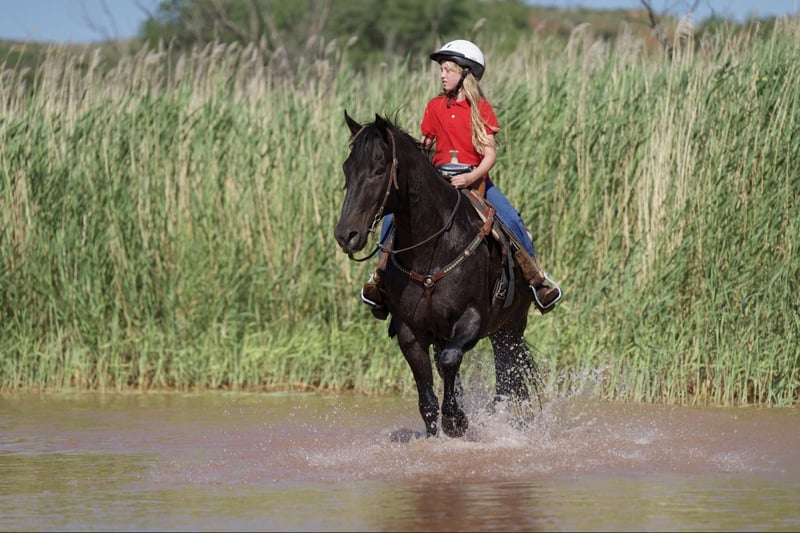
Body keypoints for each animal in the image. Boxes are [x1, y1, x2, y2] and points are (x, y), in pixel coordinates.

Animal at [334, 112, 540, 438]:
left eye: (379, 170)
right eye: (347, 169)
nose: (346, 236)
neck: (433, 247)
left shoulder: (471, 318)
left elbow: (449, 361)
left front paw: (456, 420)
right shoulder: (410, 331)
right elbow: (428, 398)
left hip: (510, 327)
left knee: (509, 378)